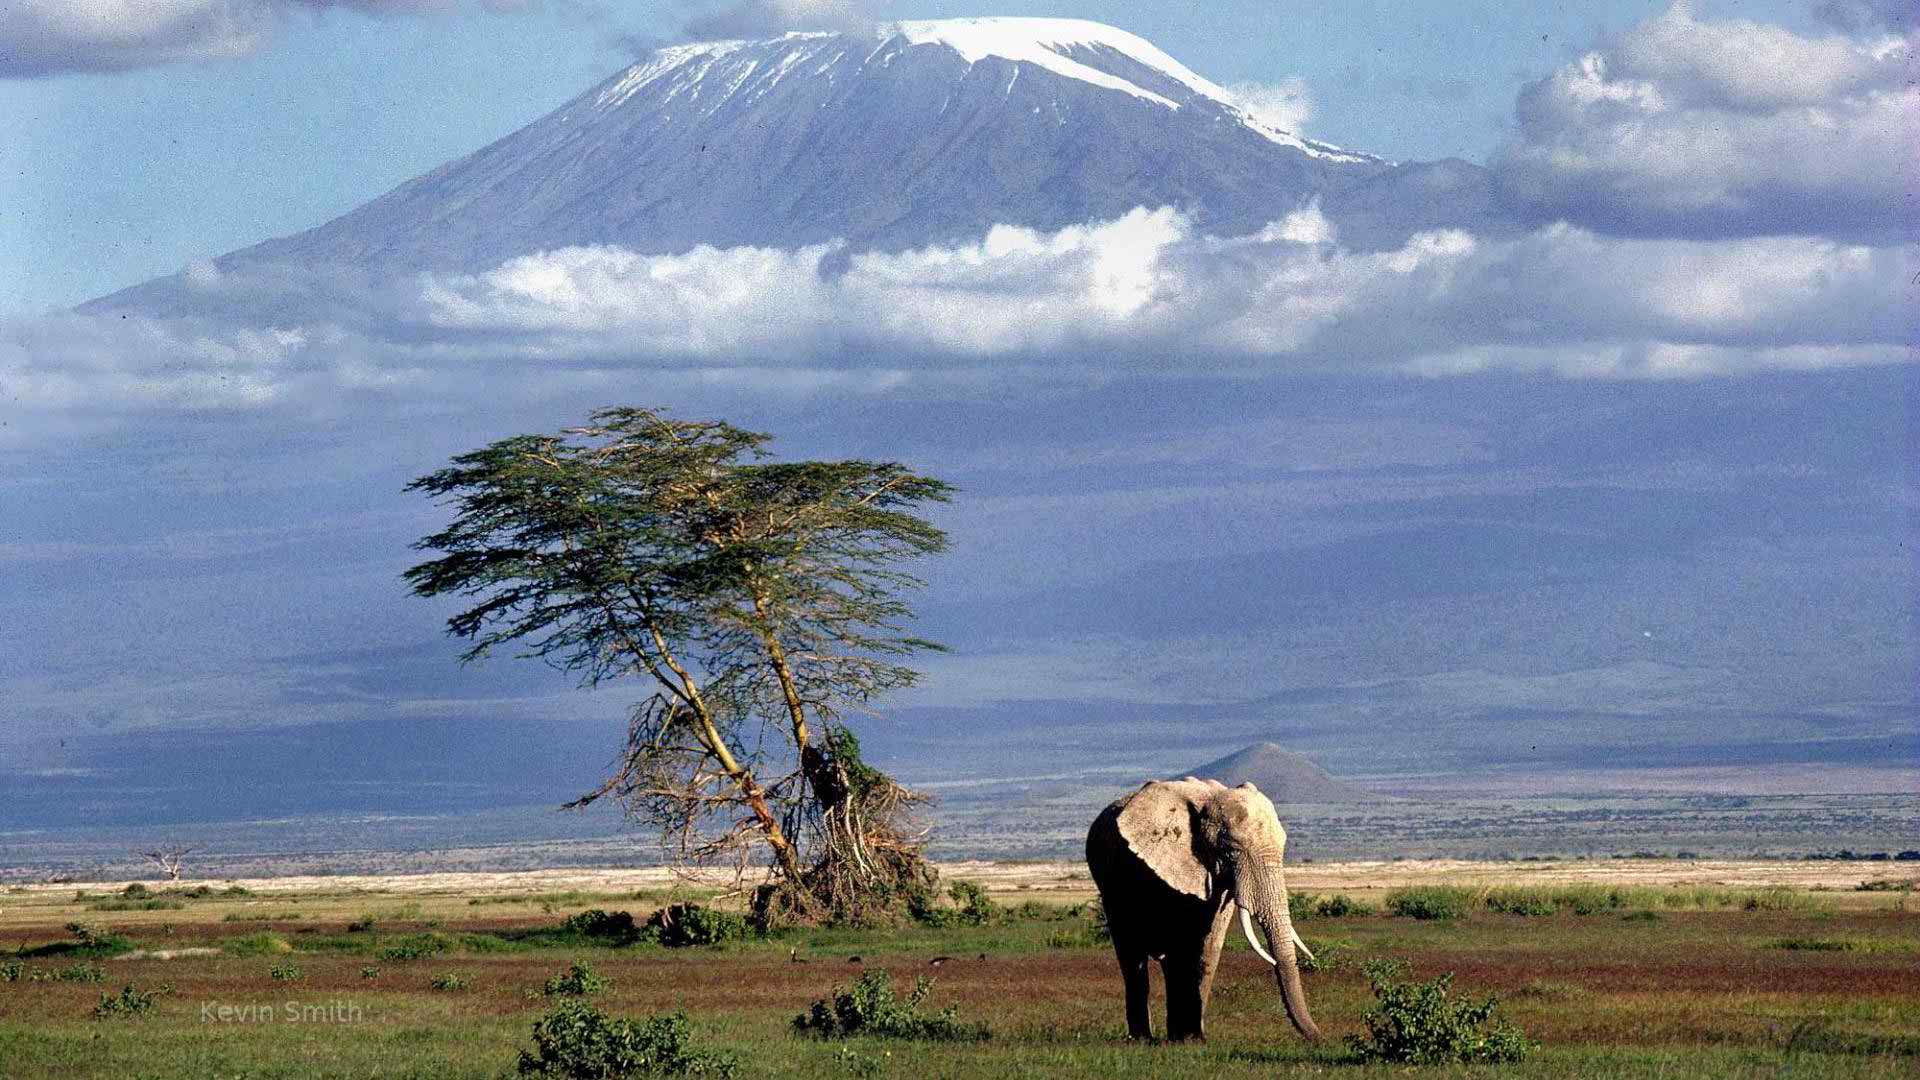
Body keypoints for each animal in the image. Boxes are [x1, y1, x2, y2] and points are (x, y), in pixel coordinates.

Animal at [1085, 777, 1321, 1044]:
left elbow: (1210, 944)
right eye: (1232, 851)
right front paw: (1188, 1039)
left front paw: (1193, 1039)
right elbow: (1181, 943)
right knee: (1131, 954)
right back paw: (1142, 1039)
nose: (1320, 1038)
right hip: (1109, 883)